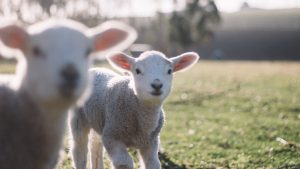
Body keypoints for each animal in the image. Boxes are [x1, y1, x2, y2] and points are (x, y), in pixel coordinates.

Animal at [0, 18, 136, 169]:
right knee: (80, 150)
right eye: (36, 50)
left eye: (88, 51)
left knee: (94, 146)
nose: (70, 74)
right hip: (79, 123)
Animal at [69, 50, 198, 169]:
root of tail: (95, 69)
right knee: (79, 149)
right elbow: (124, 163)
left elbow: (153, 164)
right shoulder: (112, 137)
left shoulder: (151, 143)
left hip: (98, 120)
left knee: (95, 146)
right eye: (137, 71)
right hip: (78, 119)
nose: (157, 85)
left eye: (169, 71)